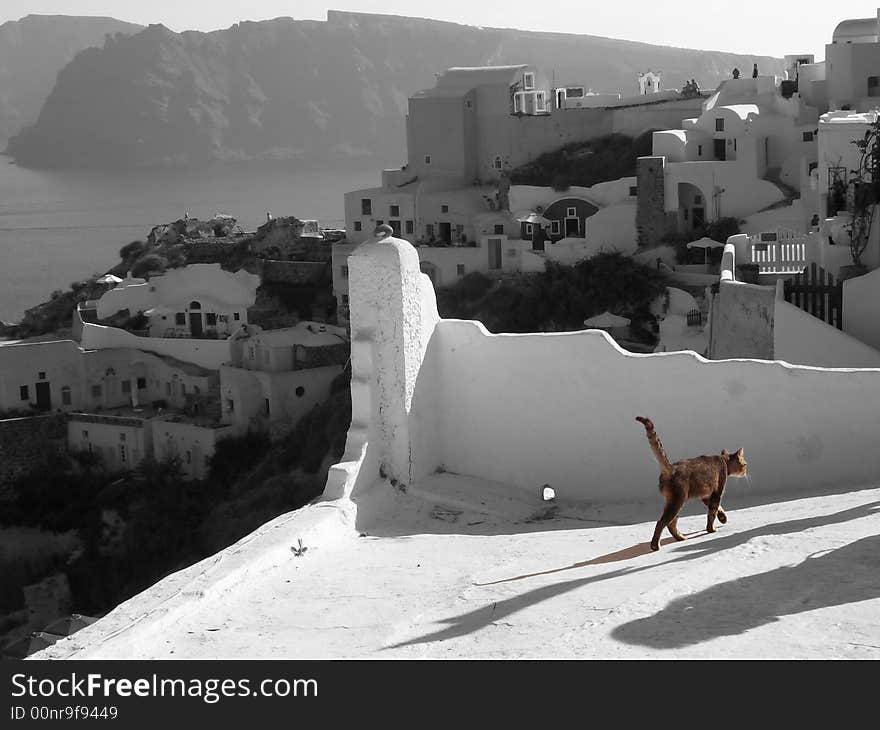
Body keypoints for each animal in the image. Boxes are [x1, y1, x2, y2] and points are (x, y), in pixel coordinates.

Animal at [636, 416, 744, 544]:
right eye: (744, 465)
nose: (745, 471)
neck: (723, 460)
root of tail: (671, 468)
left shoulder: (706, 495)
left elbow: (718, 508)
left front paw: (722, 518)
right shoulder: (717, 492)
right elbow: (712, 513)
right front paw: (711, 529)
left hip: (672, 502)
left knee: (671, 524)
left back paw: (680, 537)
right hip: (678, 501)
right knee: (661, 523)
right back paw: (655, 545)